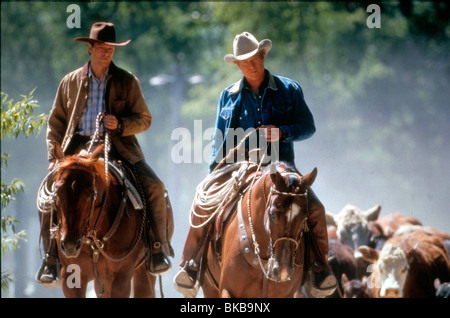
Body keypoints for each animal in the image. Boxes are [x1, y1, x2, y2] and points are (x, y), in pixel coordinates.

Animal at [48, 145, 172, 298]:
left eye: (90, 193)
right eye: (56, 192)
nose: (70, 245)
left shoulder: (121, 276)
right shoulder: (71, 276)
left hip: (142, 271)